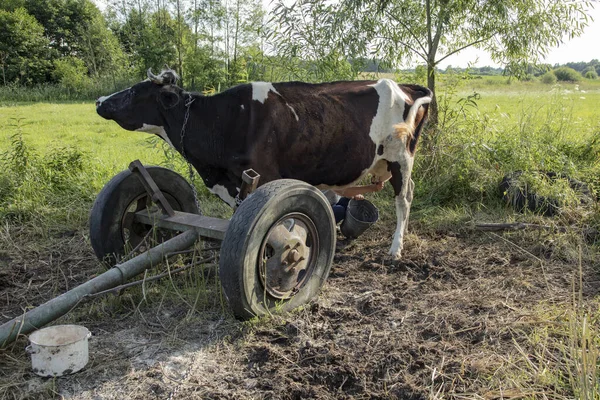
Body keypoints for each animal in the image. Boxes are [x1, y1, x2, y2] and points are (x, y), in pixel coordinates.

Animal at [95, 69, 432, 260]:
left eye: (135, 91)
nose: (99, 101)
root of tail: (403, 85)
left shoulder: (265, 177)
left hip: (401, 157)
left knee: (404, 200)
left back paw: (395, 249)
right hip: (385, 161)